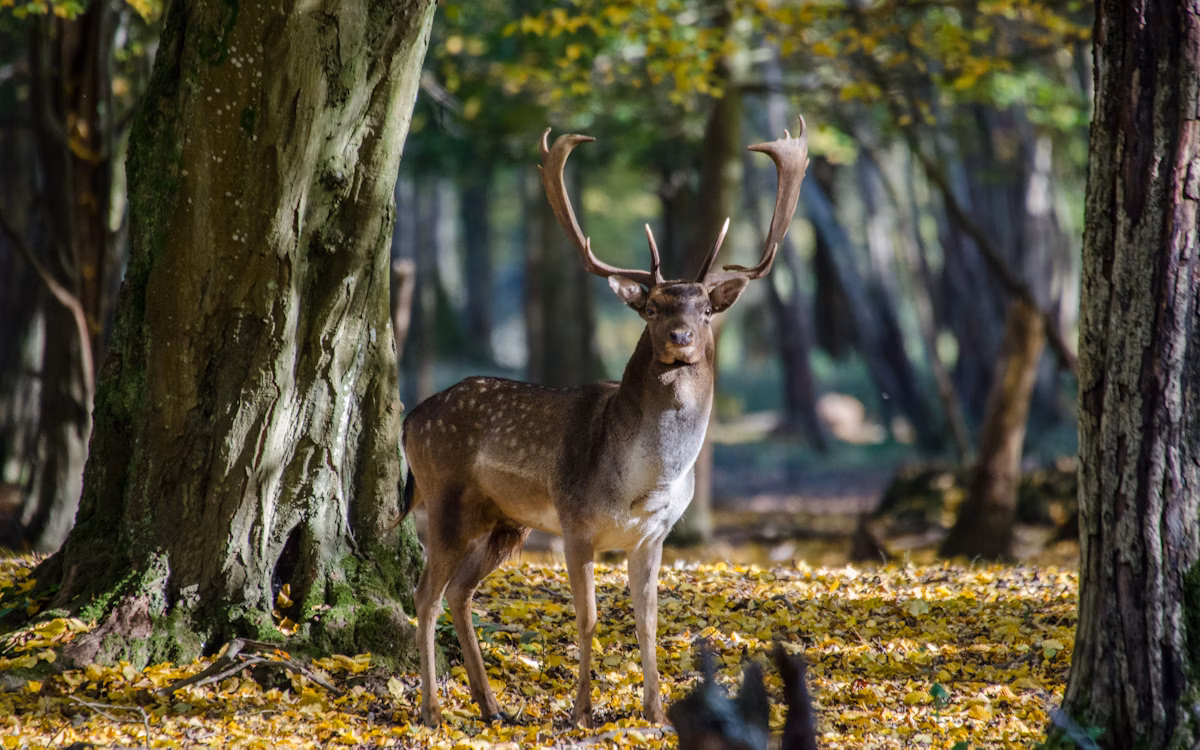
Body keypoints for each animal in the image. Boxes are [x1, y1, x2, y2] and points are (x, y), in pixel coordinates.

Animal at [399, 116, 810, 729]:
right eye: (654, 307)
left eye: (704, 309)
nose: (680, 338)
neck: (644, 483)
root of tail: (409, 419)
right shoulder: (576, 523)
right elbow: (588, 618)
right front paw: (581, 712)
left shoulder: (655, 535)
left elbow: (648, 621)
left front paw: (656, 712)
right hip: (447, 498)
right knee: (426, 595)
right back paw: (431, 708)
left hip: (505, 521)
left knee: (459, 592)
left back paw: (491, 705)